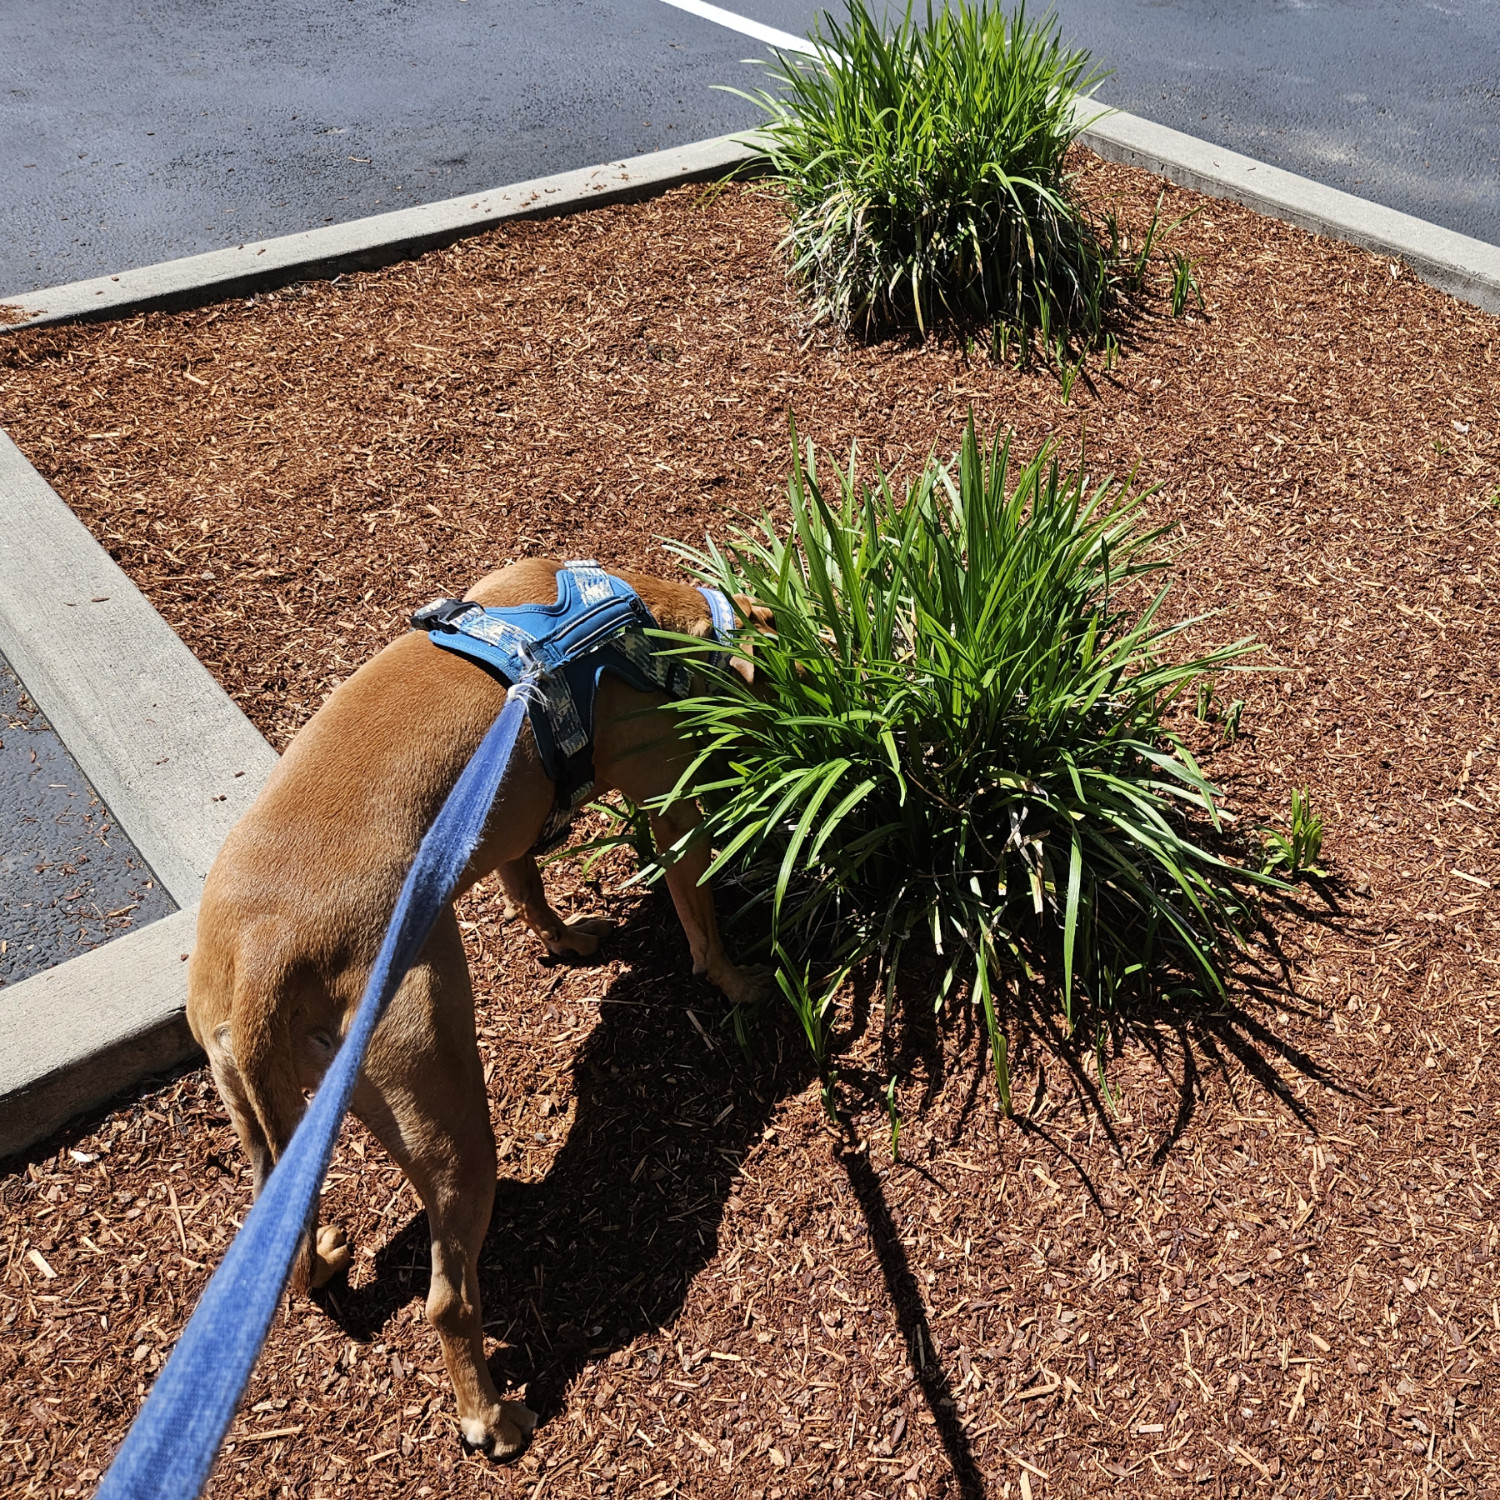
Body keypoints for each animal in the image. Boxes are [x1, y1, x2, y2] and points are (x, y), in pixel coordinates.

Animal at [189, 561, 768, 1452]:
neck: (647, 619)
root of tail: (265, 952)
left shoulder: (511, 824)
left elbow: (528, 888)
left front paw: (566, 939)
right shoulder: (669, 804)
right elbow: (701, 921)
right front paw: (743, 982)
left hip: (260, 1113)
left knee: (286, 1242)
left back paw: (326, 1261)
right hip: (449, 1113)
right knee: (449, 1299)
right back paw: (489, 1415)